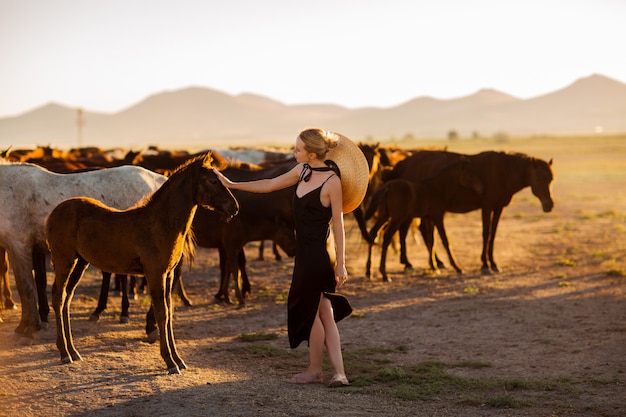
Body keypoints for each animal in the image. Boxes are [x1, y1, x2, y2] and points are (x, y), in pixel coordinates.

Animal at [0, 158, 168, 336]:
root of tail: (159, 179)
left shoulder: (20, 246)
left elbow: (27, 287)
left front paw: (31, 325)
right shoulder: (13, 249)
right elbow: (23, 286)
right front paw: (24, 324)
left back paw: (149, 324)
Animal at [47, 151, 239, 372]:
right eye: (213, 181)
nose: (234, 207)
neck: (161, 223)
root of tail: (53, 213)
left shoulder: (168, 274)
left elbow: (169, 312)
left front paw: (179, 359)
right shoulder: (155, 273)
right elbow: (162, 313)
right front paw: (170, 362)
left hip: (80, 262)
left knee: (67, 298)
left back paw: (73, 351)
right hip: (65, 261)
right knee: (58, 297)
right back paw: (64, 353)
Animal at [388, 150, 552, 272]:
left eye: (550, 179)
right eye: (539, 178)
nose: (549, 205)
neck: (504, 171)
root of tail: (403, 163)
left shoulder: (498, 208)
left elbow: (493, 234)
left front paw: (494, 264)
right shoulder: (487, 206)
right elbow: (486, 233)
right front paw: (485, 265)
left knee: (420, 230)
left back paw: (436, 262)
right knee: (404, 230)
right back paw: (408, 263)